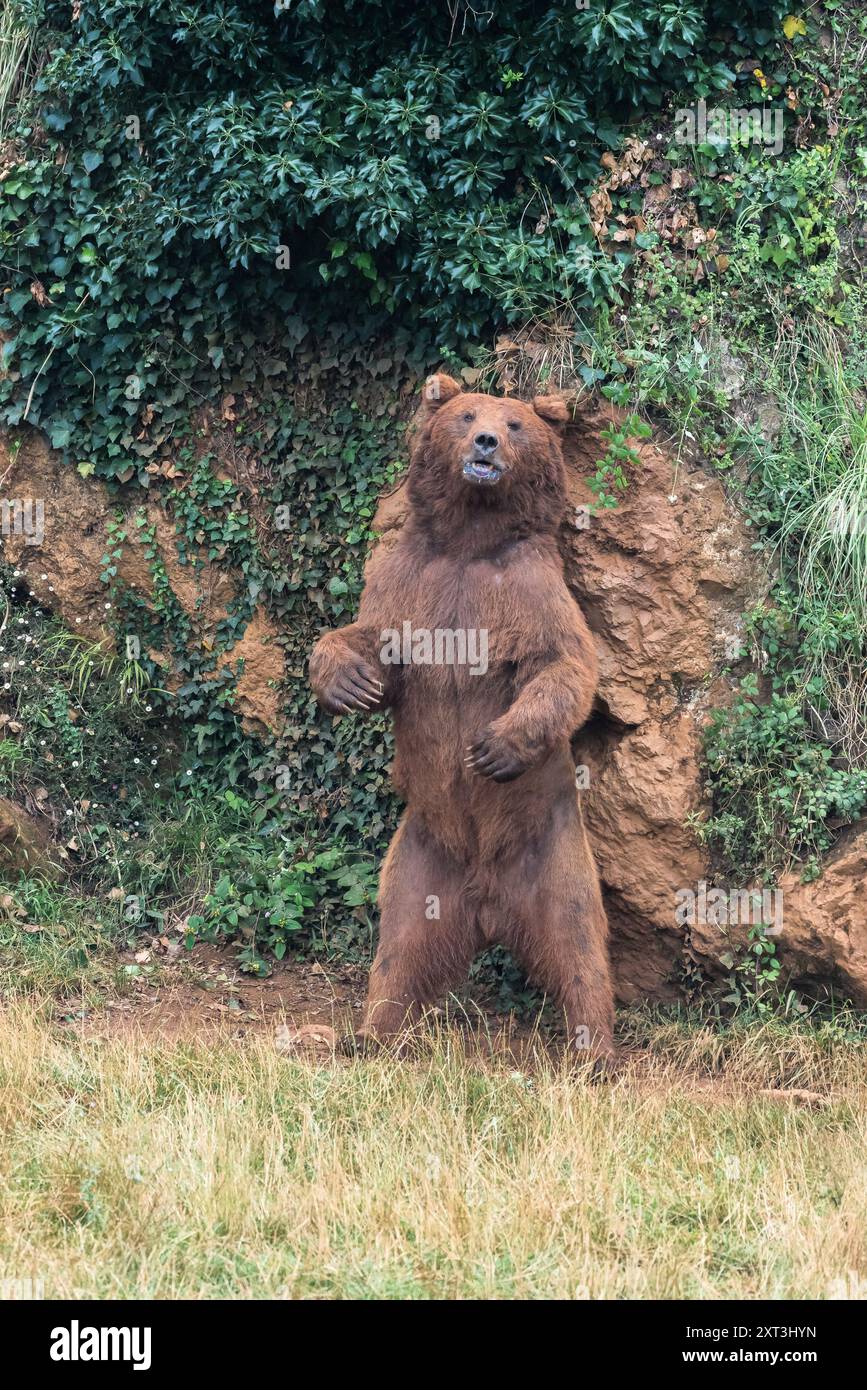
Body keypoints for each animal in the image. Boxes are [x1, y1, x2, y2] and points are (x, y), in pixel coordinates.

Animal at [309, 373, 615, 1064]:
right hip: (421, 861)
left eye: (516, 424)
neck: (471, 542)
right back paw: (373, 1031)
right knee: (399, 947)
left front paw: (494, 747)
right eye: (469, 414)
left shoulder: (530, 591)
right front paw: (348, 682)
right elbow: (371, 641)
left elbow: (564, 665)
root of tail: (489, 906)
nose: (486, 443)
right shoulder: (409, 580)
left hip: (553, 851)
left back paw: (593, 1050)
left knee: (579, 942)